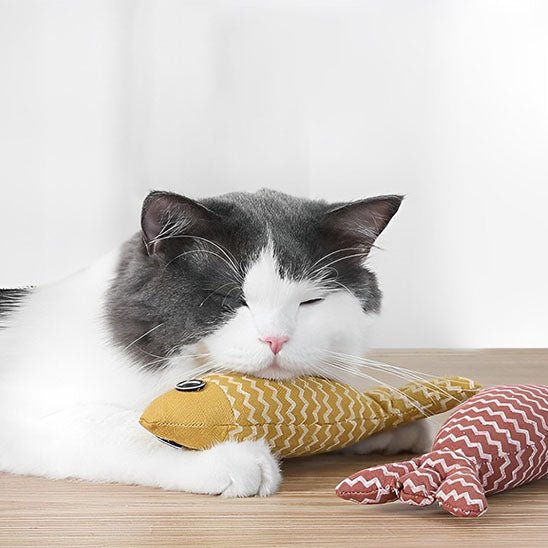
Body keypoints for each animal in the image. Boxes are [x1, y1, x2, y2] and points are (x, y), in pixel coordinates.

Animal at [0, 188, 428, 496]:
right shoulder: (27, 415)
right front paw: (233, 460)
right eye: (231, 299)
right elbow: (126, 426)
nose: (275, 339)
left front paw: (392, 423)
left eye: (310, 302)